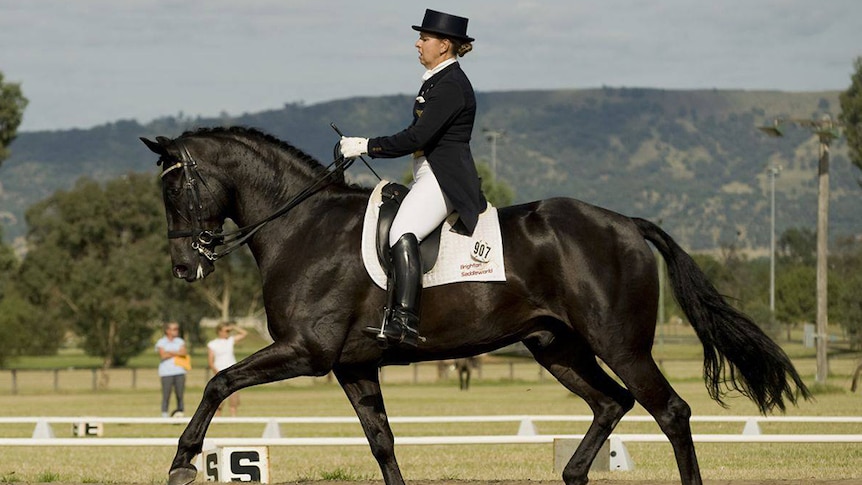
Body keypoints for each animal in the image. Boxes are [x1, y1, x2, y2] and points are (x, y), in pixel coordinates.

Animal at [140, 127, 808, 484]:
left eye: (177, 189)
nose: (185, 268)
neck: (302, 227)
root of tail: (626, 224)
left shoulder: (307, 351)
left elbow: (218, 382)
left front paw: (183, 461)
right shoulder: (354, 364)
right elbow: (381, 441)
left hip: (620, 343)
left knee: (670, 411)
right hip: (556, 347)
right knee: (611, 403)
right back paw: (572, 474)